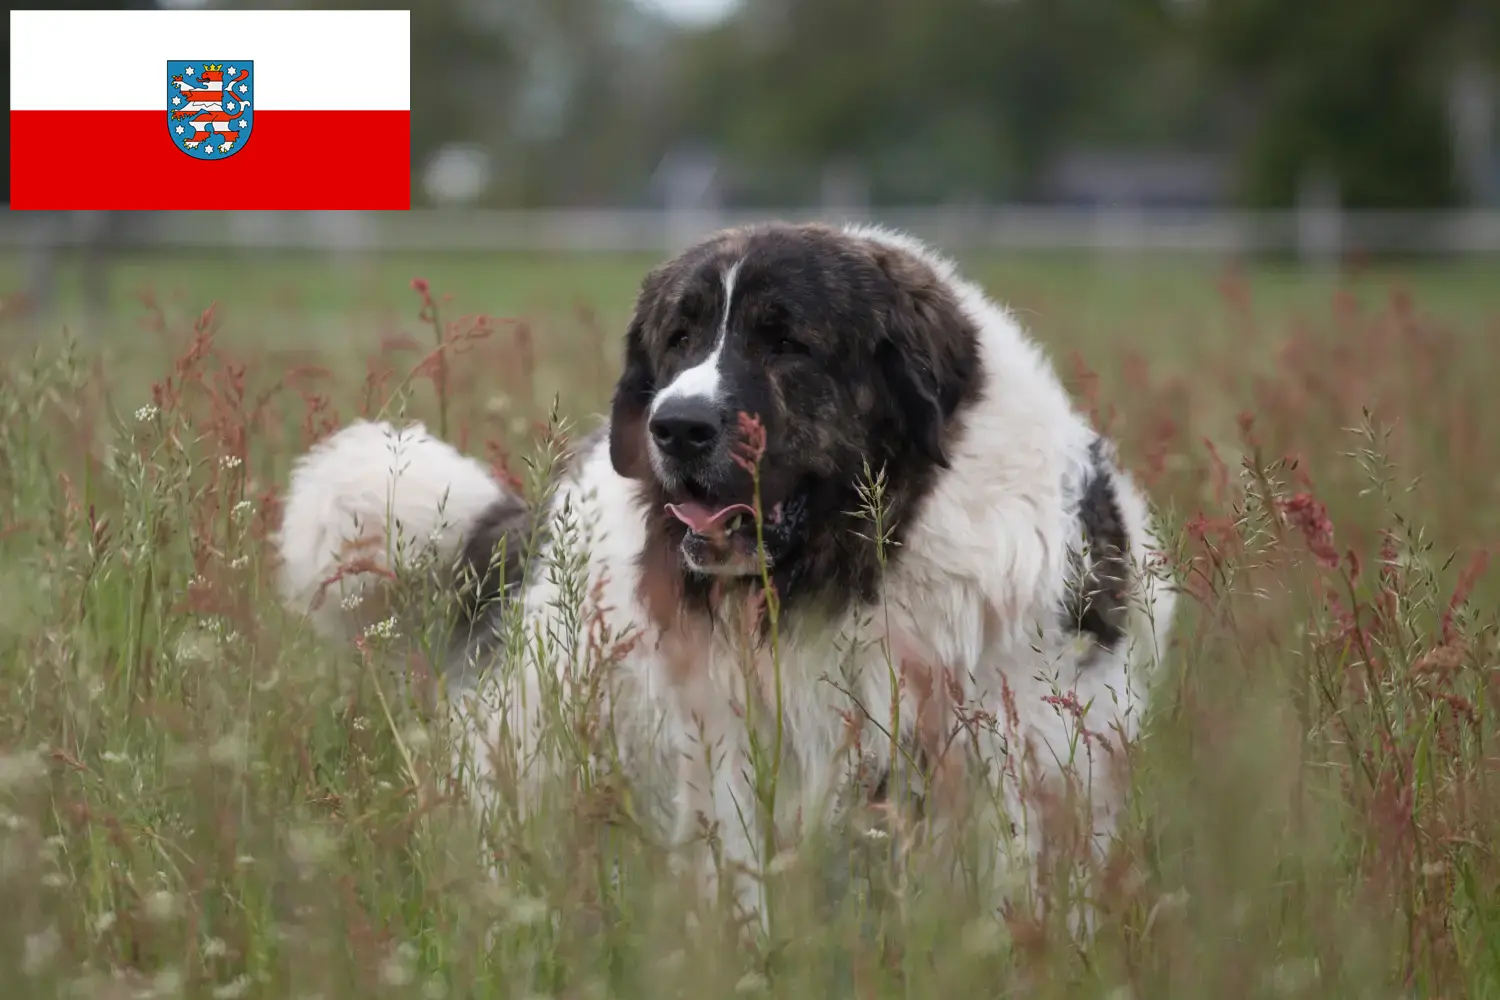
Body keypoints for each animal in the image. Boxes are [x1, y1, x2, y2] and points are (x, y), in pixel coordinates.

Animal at [276, 223, 1176, 935]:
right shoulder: (736, 762)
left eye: (787, 343)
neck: (857, 569)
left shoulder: (1020, 754)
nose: (675, 426)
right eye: (679, 337)